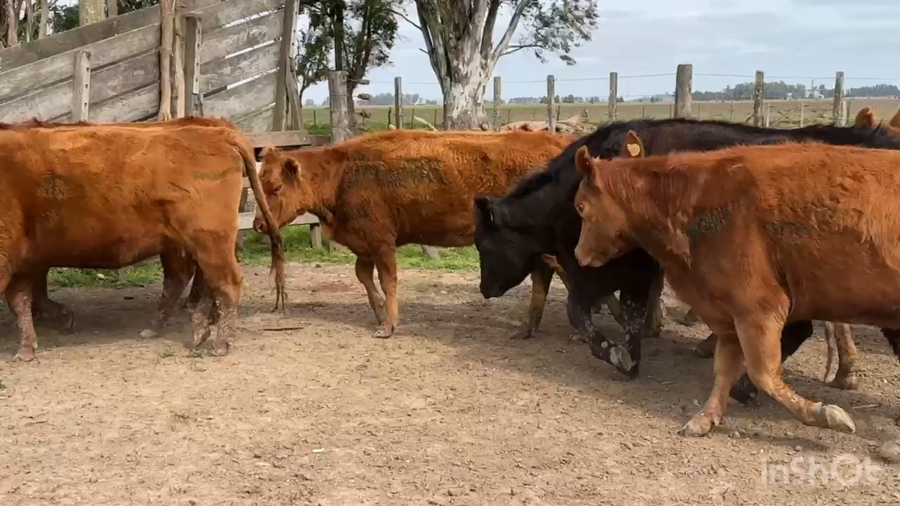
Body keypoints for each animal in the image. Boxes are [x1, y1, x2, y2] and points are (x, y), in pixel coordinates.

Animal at [0, 123, 285, 361]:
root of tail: (218, 132)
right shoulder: (23, 263)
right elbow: (20, 302)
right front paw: (27, 348)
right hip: (191, 244)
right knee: (194, 281)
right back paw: (190, 328)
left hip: (209, 241)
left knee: (225, 283)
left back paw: (220, 343)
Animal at [252, 129, 576, 338]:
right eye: (260, 182)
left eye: (276, 187)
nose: (258, 224)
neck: (342, 172)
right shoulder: (365, 244)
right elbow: (364, 277)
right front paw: (380, 313)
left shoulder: (382, 243)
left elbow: (388, 280)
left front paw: (387, 326)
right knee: (543, 278)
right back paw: (527, 329)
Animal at [473, 117, 900, 400]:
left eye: (483, 244)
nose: (485, 289)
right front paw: (632, 351)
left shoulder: (623, 269)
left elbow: (587, 312)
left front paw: (618, 354)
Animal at [571, 137, 900, 437]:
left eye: (581, 206)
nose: (578, 254)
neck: (691, 200)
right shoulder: (726, 312)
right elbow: (724, 368)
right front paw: (705, 418)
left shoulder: (759, 309)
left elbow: (763, 373)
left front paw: (827, 415)